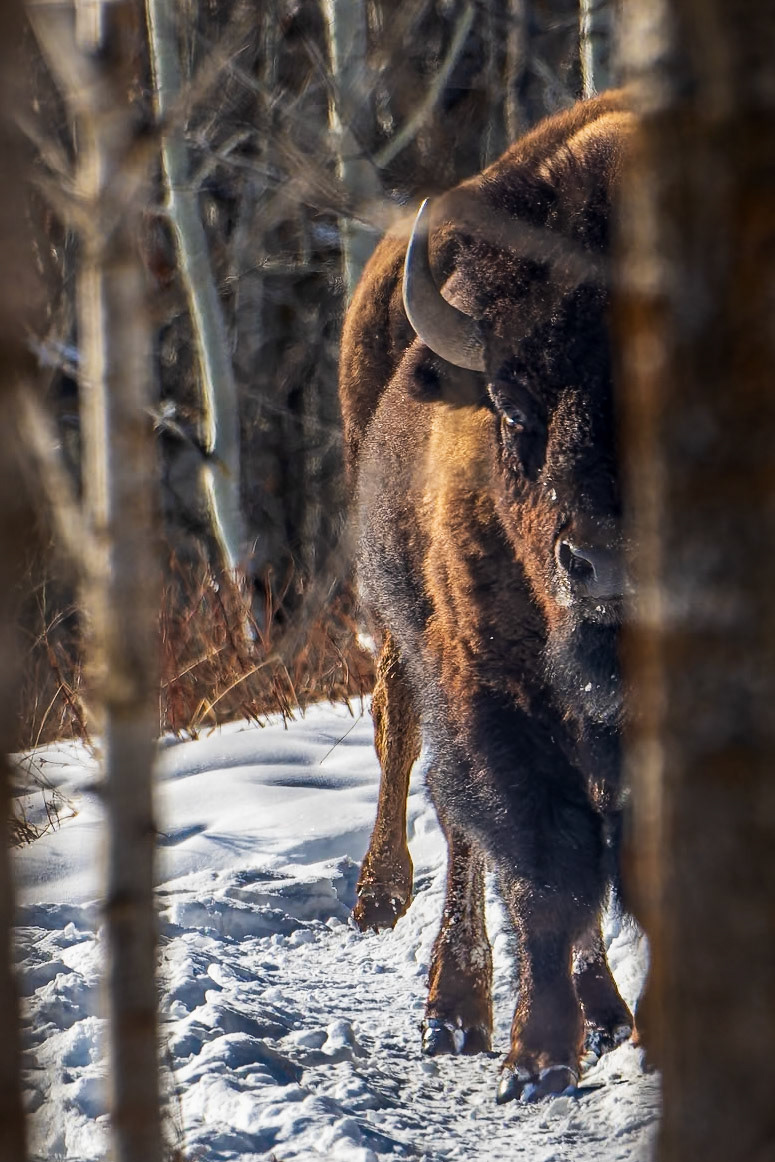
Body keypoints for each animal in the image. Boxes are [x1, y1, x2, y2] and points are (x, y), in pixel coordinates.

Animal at [339, 92, 636, 1103]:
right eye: (512, 403)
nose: (601, 564)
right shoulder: (495, 687)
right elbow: (543, 865)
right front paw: (535, 1059)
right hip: (410, 639)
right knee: (420, 766)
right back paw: (445, 996)